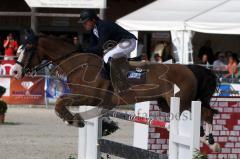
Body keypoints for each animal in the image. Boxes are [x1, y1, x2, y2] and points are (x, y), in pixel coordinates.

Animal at [12, 30, 219, 152]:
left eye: (28, 48)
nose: (15, 71)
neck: (79, 65)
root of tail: (190, 68)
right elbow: (65, 103)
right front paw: (102, 125)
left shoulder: (88, 96)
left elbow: (60, 102)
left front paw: (74, 120)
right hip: (169, 103)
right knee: (207, 113)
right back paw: (209, 141)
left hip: (180, 101)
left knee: (203, 114)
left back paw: (209, 141)